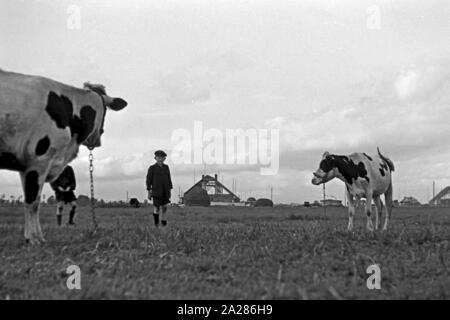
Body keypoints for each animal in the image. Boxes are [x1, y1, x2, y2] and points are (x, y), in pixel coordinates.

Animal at [0, 68, 126, 242]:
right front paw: (34, 238)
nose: (97, 140)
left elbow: (29, 199)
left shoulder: (25, 165)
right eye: (106, 111)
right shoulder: (39, 159)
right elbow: (33, 201)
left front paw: (32, 236)